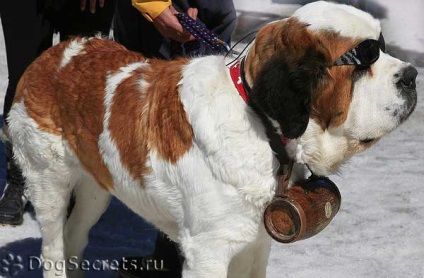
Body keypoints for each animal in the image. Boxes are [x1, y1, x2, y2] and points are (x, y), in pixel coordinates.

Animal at [5, 0, 418, 278]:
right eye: (364, 60)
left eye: (383, 46)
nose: (413, 75)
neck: (263, 128)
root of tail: (56, 52)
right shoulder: (209, 250)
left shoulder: (255, 244)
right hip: (48, 181)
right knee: (54, 247)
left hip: (98, 186)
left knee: (75, 237)